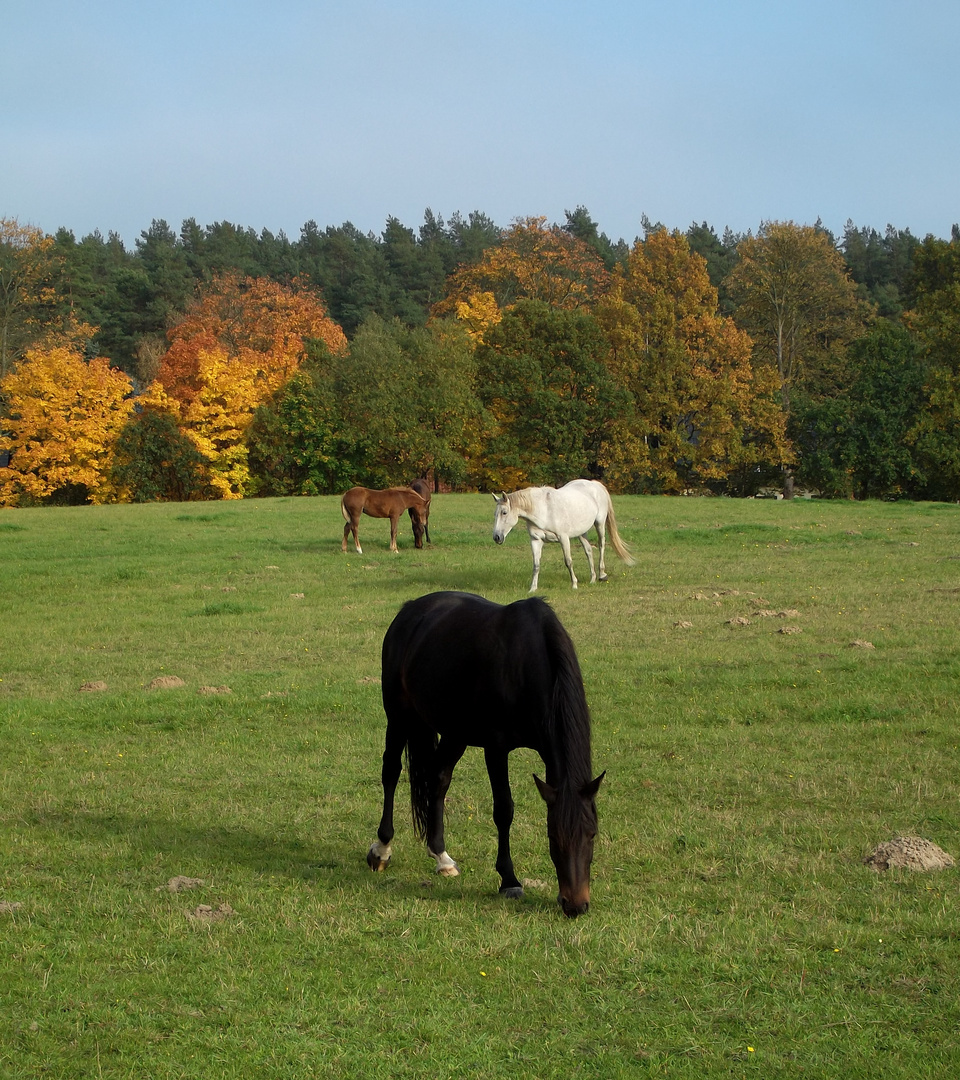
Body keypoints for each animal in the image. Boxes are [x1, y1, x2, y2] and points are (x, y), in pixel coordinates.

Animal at [362, 596, 604, 915]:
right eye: (553, 836)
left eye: (592, 834)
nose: (575, 906)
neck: (525, 664)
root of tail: (411, 609)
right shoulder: (496, 748)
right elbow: (504, 810)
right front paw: (509, 880)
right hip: (398, 714)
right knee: (391, 772)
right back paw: (382, 849)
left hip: (455, 732)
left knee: (438, 779)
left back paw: (441, 857)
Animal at [490, 481, 634, 596]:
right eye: (495, 514)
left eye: (504, 512)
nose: (496, 537)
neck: (544, 510)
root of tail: (595, 484)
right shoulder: (536, 540)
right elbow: (536, 565)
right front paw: (533, 588)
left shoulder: (563, 538)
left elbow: (568, 561)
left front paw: (574, 584)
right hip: (582, 532)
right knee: (588, 551)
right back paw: (592, 579)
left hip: (600, 524)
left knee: (601, 545)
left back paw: (602, 575)